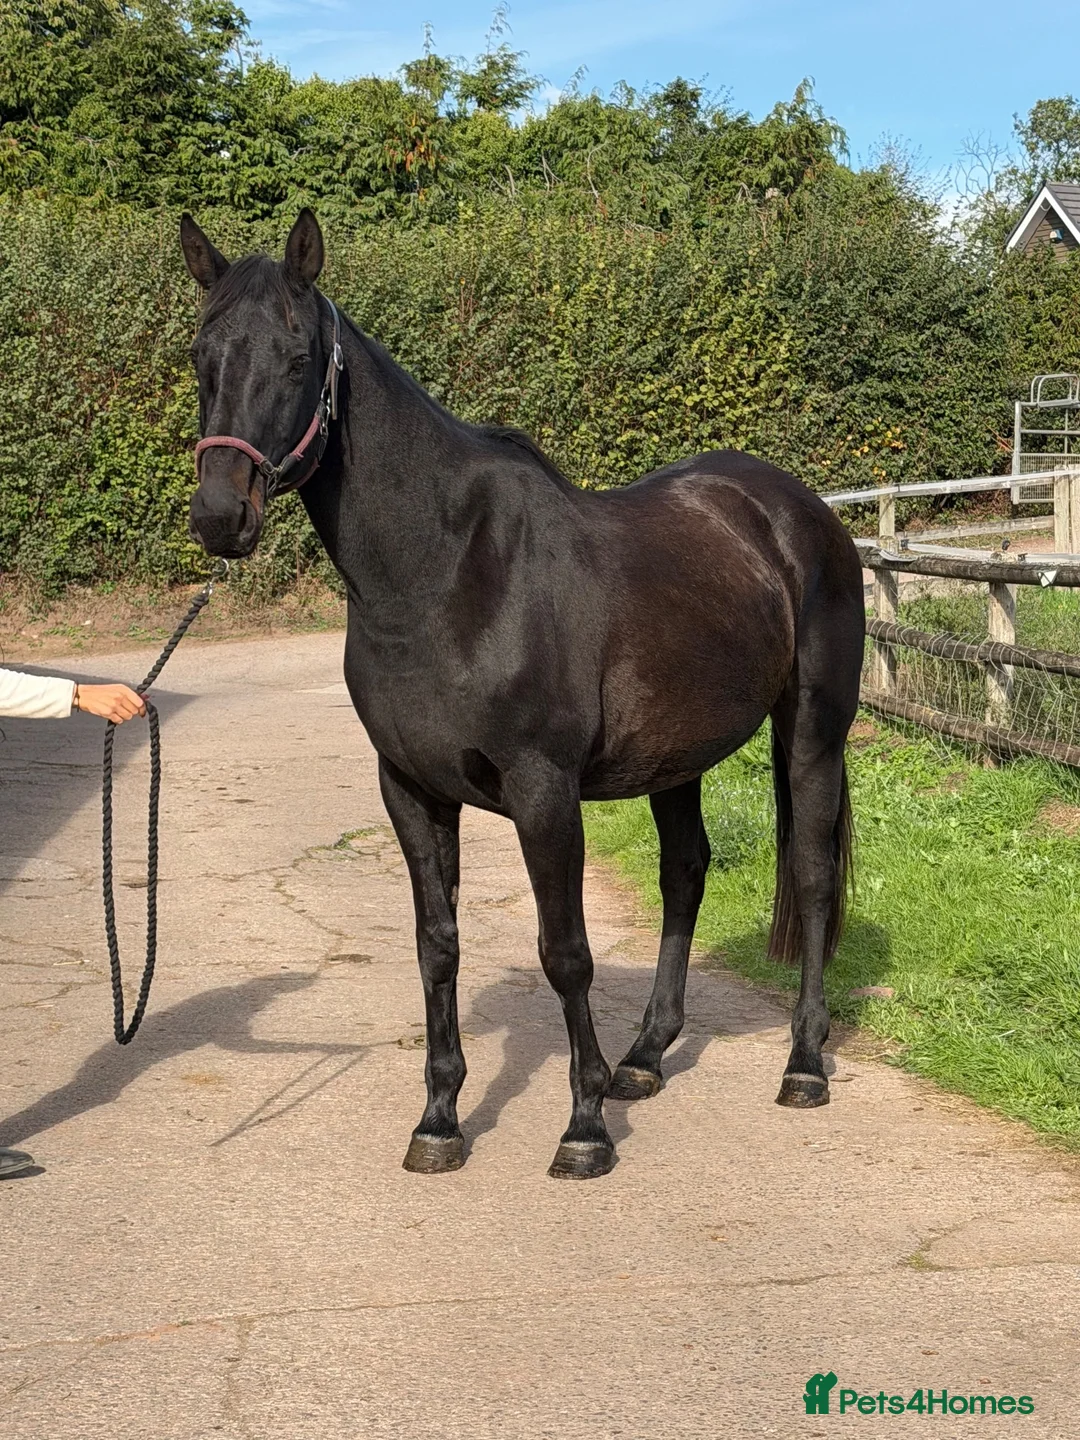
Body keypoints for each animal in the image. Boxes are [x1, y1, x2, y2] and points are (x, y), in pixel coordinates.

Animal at [180, 208, 865, 1180]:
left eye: (295, 354)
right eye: (202, 353)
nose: (219, 515)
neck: (444, 573)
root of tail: (800, 513)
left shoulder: (544, 792)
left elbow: (565, 953)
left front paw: (583, 1129)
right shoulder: (410, 790)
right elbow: (437, 948)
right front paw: (439, 1121)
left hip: (812, 734)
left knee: (808, 877)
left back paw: (803, 1063)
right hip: (675, 759)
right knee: (685, 873)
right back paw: (645, 1057)